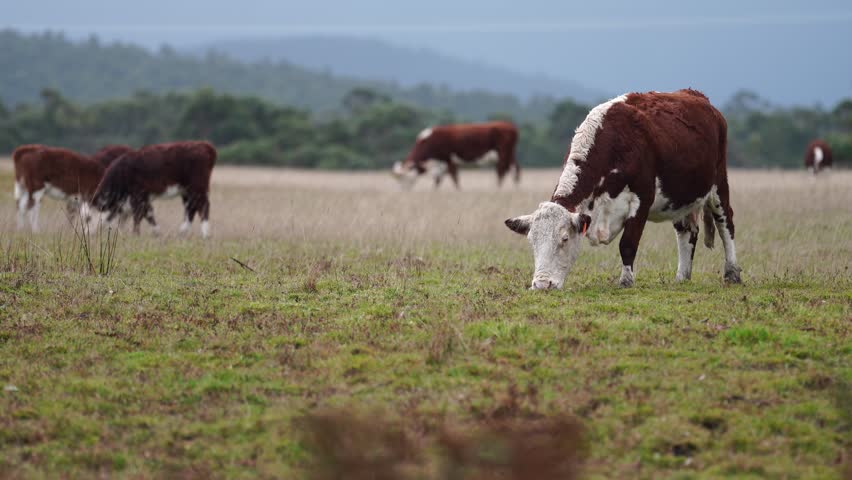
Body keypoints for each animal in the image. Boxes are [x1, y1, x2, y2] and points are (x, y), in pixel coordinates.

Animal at [391, 121, 519, 189]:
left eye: (404, 177)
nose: (404, 190)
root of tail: (509, 125)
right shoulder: (440, 162)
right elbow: (438, 179)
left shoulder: (448, 158)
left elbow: (454, 176)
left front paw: (459, 190)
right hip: (510, 153)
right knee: (514, 169)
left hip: (503, 152)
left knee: (501, 169)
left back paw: (497, 188)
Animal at [504, 89, 742, 290]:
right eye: (532, 241)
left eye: (564, 239)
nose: (541, 285)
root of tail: (698, 96)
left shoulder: (642, 199)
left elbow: (627, 244)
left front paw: (626, 281)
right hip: (681, 199)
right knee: (686, 232)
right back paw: (682, 277)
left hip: (719, 184)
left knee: (726, 224)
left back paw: (732, 273)